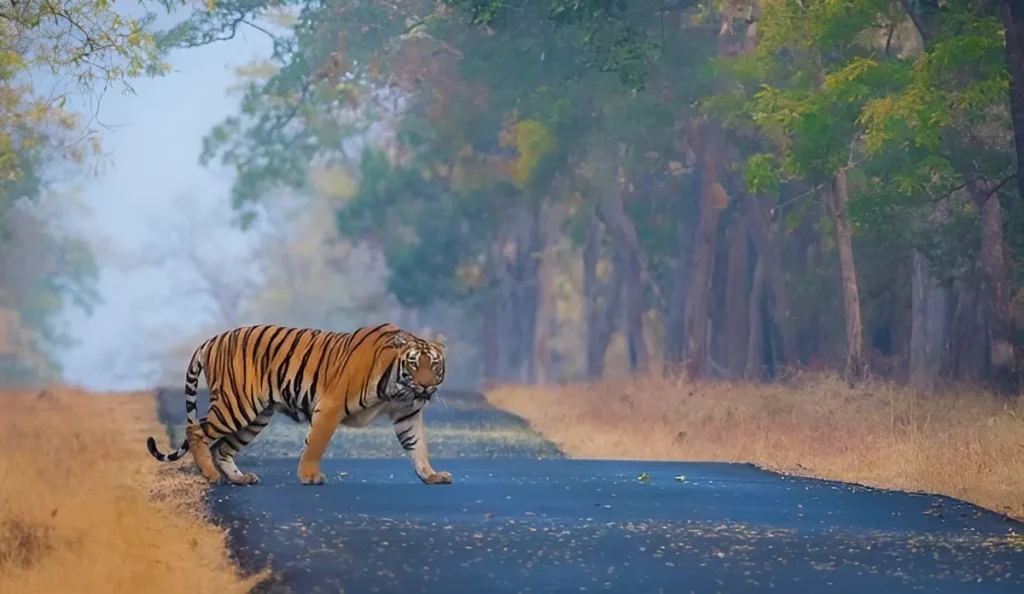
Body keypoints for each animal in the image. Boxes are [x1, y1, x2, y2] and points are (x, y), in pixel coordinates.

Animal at [146, 325, 450, 487]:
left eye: (434, 365)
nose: (426, 387)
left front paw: (431, 475)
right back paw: (210, 474)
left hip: (255, 416)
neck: (397, 389)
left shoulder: (408, 414)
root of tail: (211, 340)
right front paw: (309, 476)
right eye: (414, 364)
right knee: (196, 431)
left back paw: (240, 479)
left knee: (220, 447)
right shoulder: (330, 406)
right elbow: (316, 443)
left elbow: (417, 446)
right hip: (236, 406)